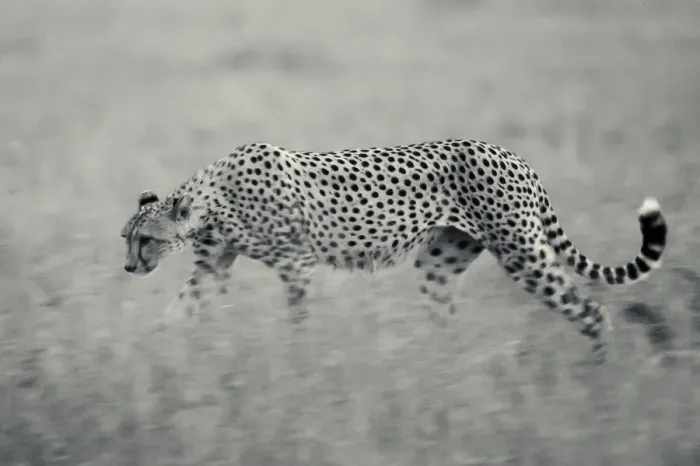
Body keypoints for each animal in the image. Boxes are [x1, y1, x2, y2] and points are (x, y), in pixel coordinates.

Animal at [120, 139, 668, 364]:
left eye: (145, 239)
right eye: (127, 237)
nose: (128, 266)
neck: (212, 198)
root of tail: (513, 155)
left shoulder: (296, 265)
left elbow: (297, 322)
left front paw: (299, 364)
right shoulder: (213, 267)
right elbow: (178, 312)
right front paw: (160, 354)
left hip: (523, 255)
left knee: (591, 310)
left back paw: (598, 377)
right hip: (437, 264)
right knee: (445, 322)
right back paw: (439, 372)